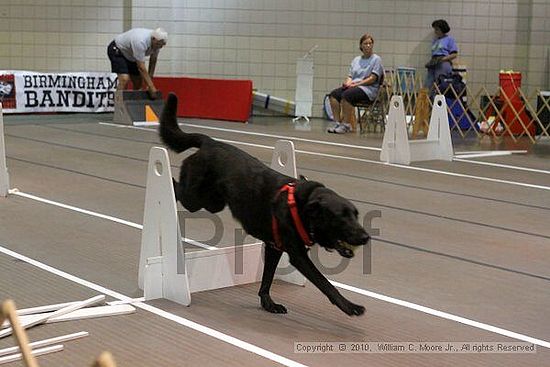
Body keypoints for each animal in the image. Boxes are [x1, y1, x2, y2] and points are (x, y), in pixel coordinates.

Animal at [158, 92, 370, 316]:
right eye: (340, 217)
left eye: (355, 215)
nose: (366, 237)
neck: (301, 206)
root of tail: (210, 142)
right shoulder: (298, 255)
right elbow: (325, 283)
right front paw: (350, 306)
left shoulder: (274, 247)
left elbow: (267, 278)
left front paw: (268, 302)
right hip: (194, 198)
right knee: (177, 187)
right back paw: (164, 176)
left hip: (212, 202)